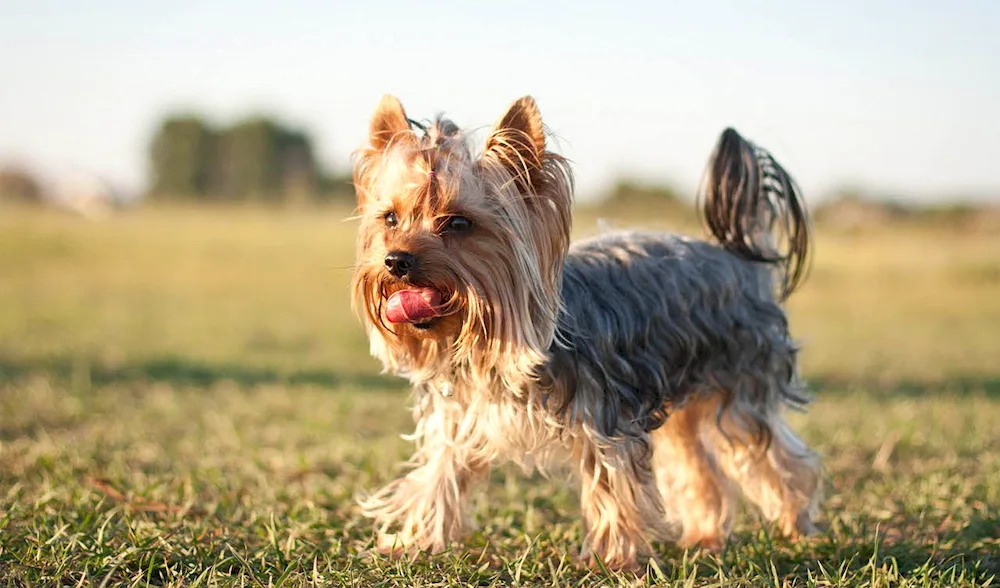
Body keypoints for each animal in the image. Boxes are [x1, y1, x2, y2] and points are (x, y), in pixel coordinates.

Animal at [350, 95, 820, 568]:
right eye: (390, 218)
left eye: (460, 224)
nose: (396, 261)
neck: (491, 345)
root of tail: (739, 258)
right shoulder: (460, 419)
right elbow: (439, 476)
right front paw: (412, 542)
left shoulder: (605, 422)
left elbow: (612, 488)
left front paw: (609, 560)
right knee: (696, 466)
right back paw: (704, 537)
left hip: (741, 386)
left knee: (774, 459)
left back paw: (796, 529)